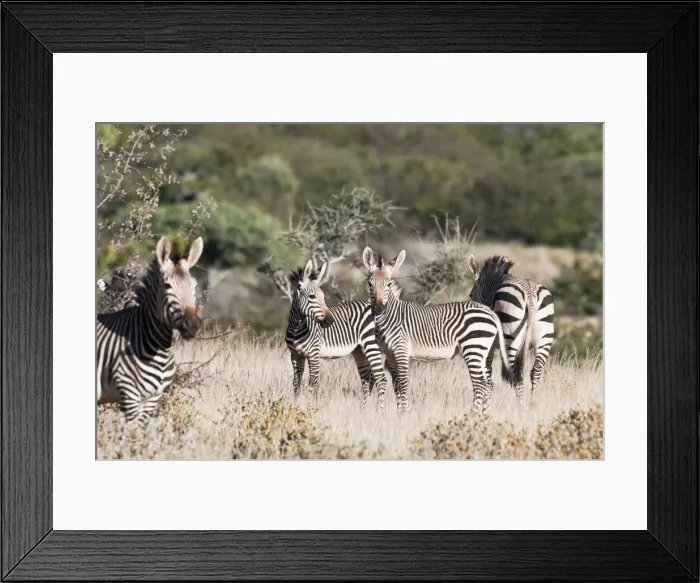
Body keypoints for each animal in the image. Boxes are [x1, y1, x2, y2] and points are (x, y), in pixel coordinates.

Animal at [96, 236, 204, 427]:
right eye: (167, 286)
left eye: (194, 285)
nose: (192, 325)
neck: (159, 348)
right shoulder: (129, 395)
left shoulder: (153, 398)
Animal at [285, 259, 389, 408]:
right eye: (312, 296)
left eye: (323, 297)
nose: (330, 320)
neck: (296, 327)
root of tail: (372, 307)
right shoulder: (295, 355)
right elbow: (296, 383)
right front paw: (295, 405)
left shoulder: (313, 354)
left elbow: (313, 383)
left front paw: (310, 407)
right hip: (359, 350)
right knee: (367, 379)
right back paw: (364, 409)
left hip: (371, 344)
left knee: (381, 379)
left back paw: (380, 410)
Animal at [361, 247, 514, 414]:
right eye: (370, 284)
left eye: (388, 284)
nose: (379, 308)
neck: (389, 317)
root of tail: (490, 312)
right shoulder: (390, 354)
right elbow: (396, 384)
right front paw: (397, 413)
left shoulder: (401, 351)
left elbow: (402, 382)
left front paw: (404, 413)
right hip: (484, 351)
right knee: (489, 384)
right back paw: (484, 414)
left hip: (473, 348)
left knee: (481, 384)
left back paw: (472, 414)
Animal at [467, 254, 555, 405]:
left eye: (471, 295)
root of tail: (530, 293)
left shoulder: (490, 344)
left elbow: (488, 370)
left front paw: (486, 399)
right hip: (545, 338)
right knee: (535, 371)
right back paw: (531, 404)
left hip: (510, 336)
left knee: (515, 372)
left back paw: (519, 405)